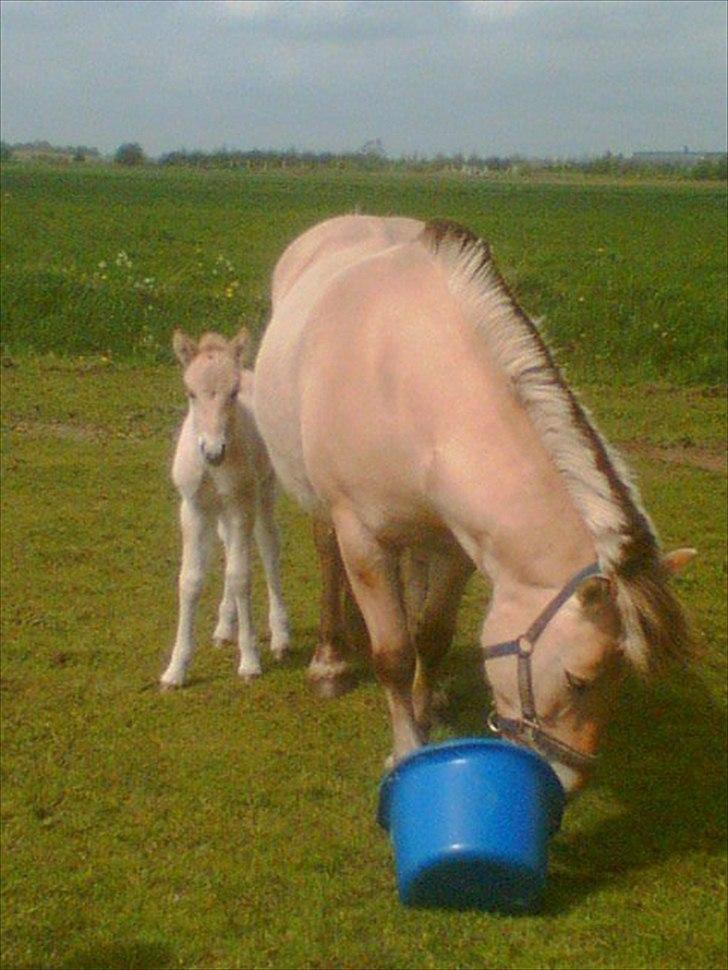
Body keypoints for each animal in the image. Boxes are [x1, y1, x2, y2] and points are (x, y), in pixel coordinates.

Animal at [161, 328, 290, 684]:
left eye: (232, 393)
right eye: (190, 392)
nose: (212, 451)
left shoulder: (240, 505)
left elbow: (241, 576)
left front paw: (249, 661)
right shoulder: (193, 509)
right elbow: (190, 580)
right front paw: (176, 669)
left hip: (261, 495)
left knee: (268, 549)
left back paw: (280, 636)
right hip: (221, 512)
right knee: (230, 548)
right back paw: (223, 628)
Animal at [255, 216, 692, 792]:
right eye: (578, 679)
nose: (566, 782)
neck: (409, 377)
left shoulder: (457, 547)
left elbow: (432, 634)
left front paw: (426, 707)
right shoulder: (364, 538)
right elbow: (393, 652)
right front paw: (405, 747)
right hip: (324, 506)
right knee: (329, 556)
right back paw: (332, 659)